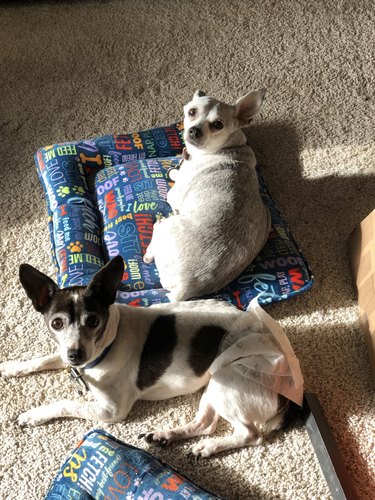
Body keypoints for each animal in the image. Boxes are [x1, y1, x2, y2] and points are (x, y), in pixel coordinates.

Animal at [0, 258, 302, 458]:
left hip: (228, 379)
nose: (76, 354)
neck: (108, 343)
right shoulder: (66, 355)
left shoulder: (111, 411)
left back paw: (209, 447)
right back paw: (166, 436)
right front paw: (12, 367)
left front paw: (33, 414)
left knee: (250, 434)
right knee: (205, 423)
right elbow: (44, 358)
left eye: (94, 321)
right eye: (57, 323)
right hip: (215, 384)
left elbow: (67, 403)